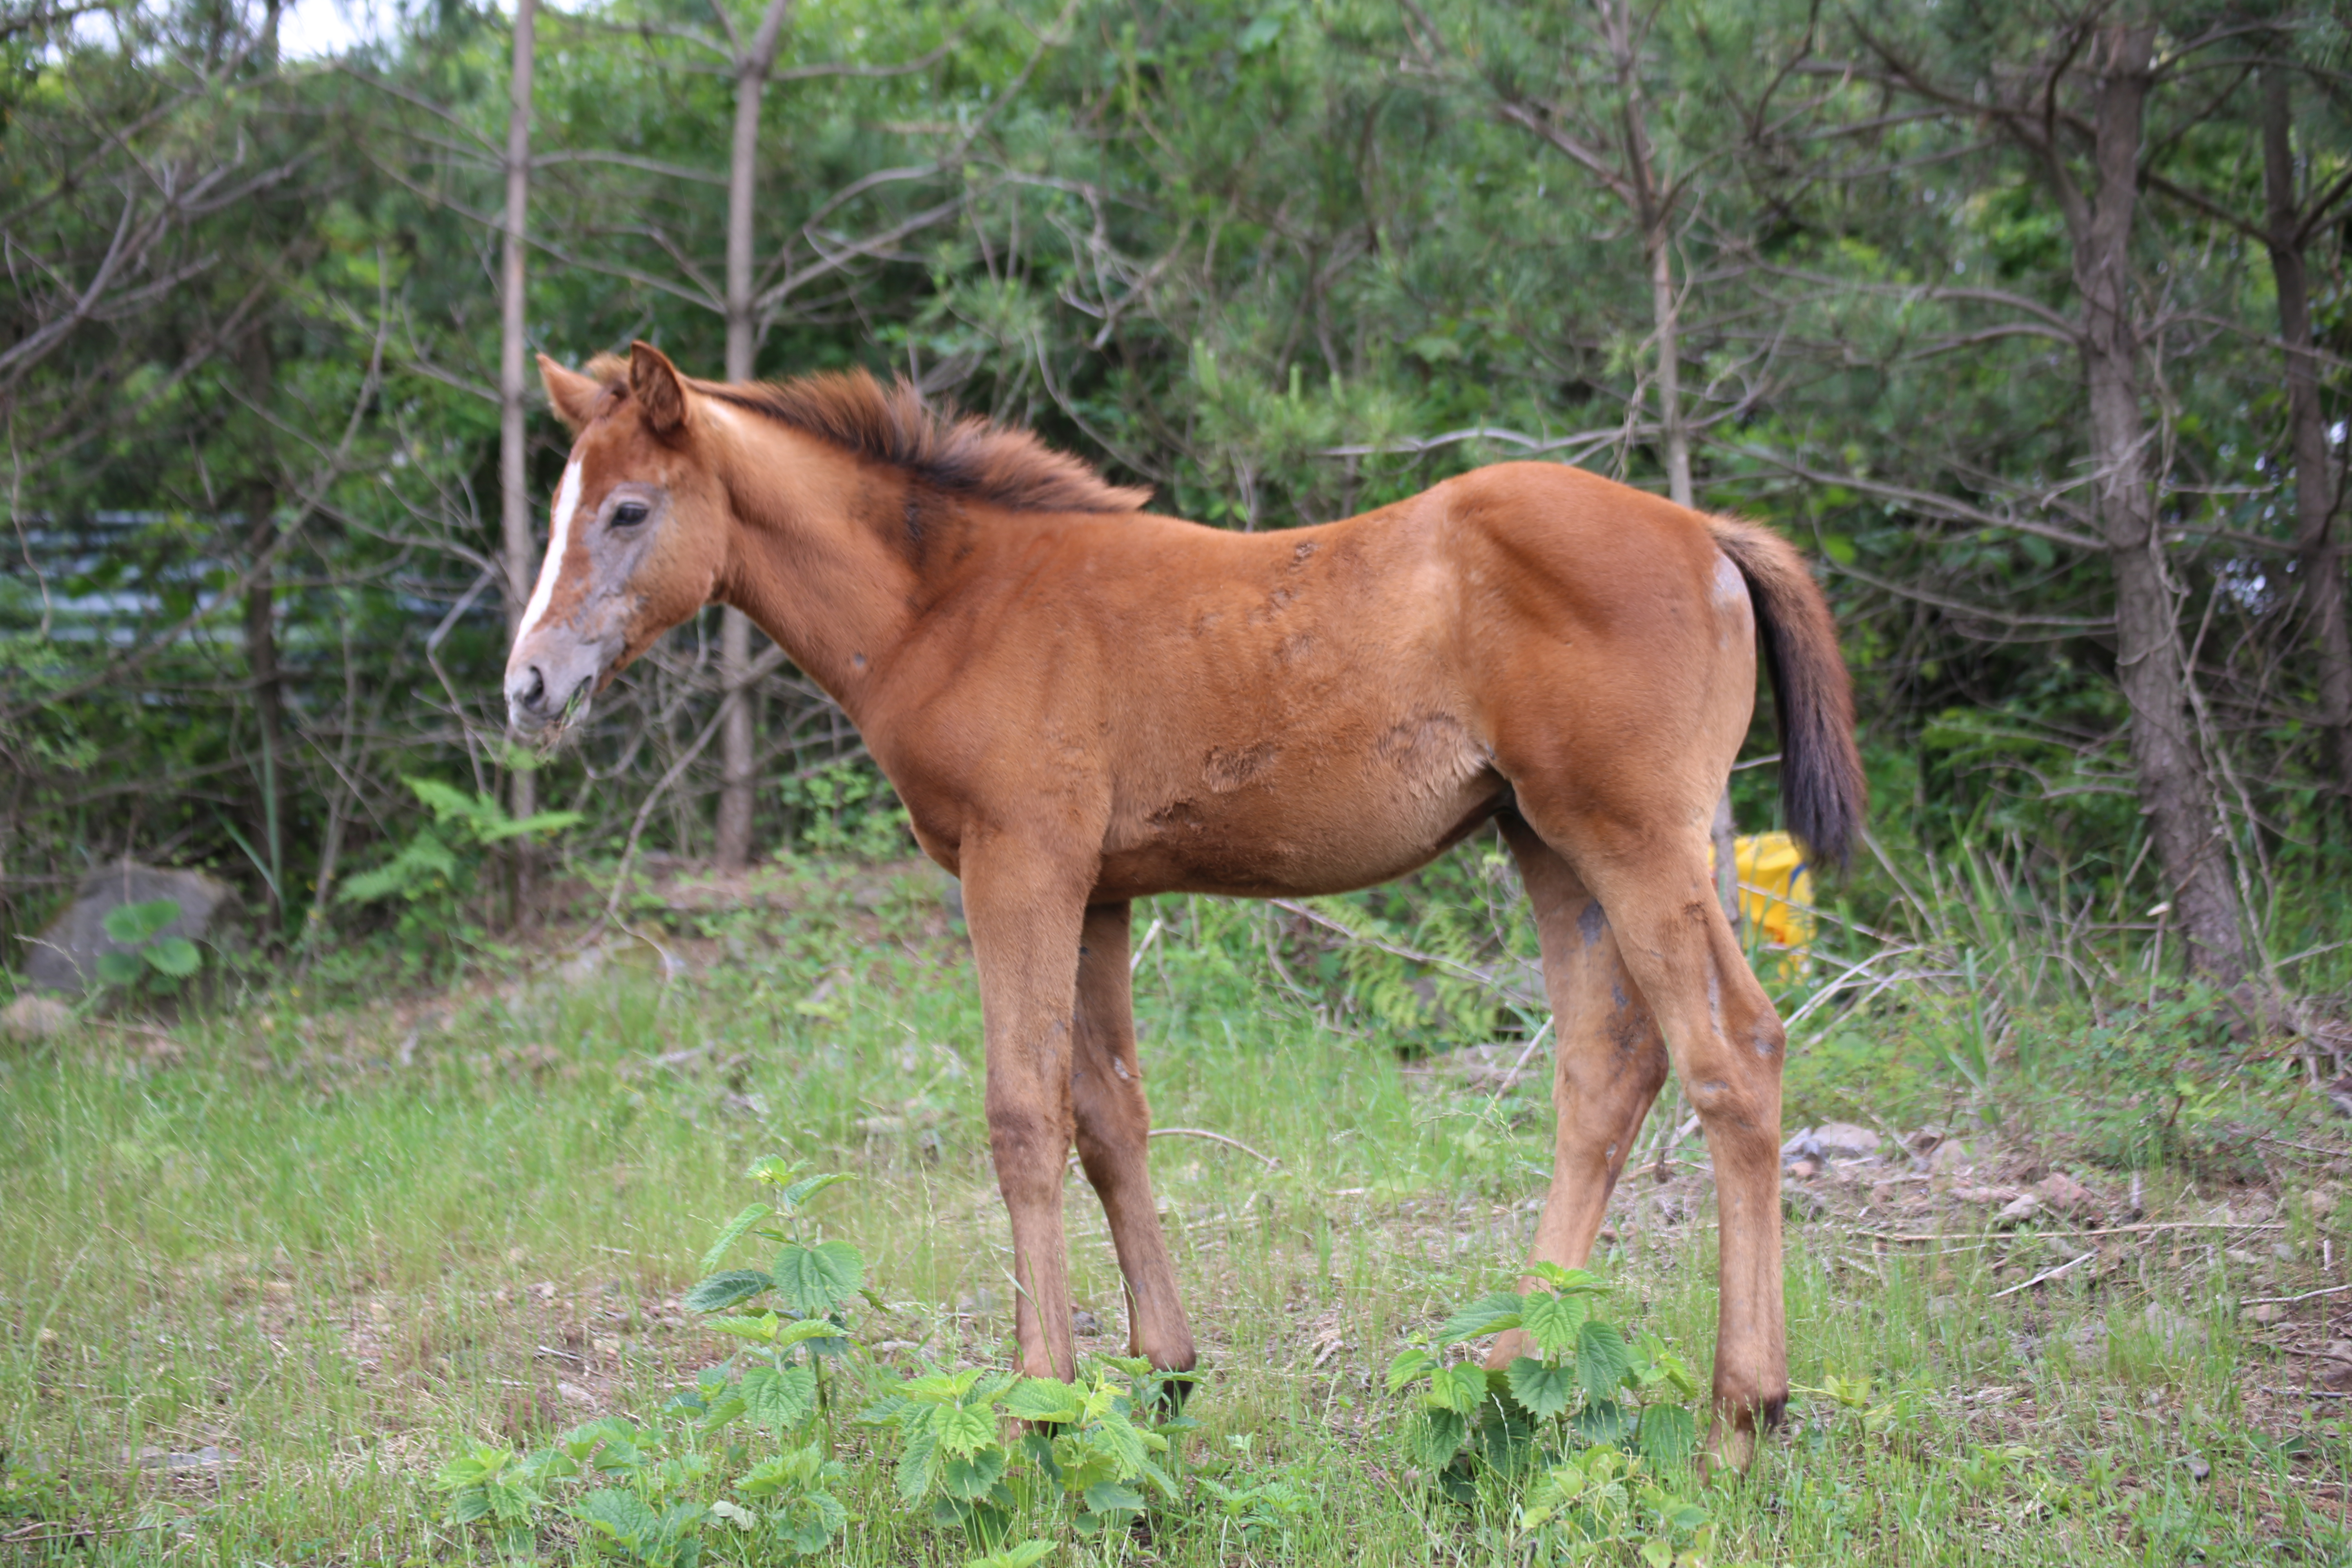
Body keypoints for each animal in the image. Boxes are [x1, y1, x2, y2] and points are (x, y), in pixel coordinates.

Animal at [506, 343, 1862, 1476]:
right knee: (1606, 1071)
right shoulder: (1101, 890)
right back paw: (1497, 1387)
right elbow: (1111, 1114)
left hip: (1635, 840)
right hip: (1550, 845)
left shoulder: (1020, 866)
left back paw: (1740, 1420)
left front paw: (1033, 1410)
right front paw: (1159, 1377)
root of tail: (1710, 535)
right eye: (569, 505)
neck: (954, 601)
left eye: (630, 510)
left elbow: (1023, 1115)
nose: (526, 685)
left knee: (1734, 1053)